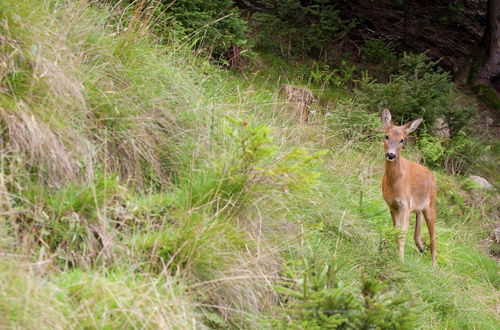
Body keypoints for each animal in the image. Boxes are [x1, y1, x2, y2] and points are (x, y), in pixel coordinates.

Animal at [380, 108, 436, 266]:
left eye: (402, 140)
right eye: (386, 136)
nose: (391, 155)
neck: (394, 183)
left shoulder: (405, 204)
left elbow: (402, 234)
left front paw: (401, 259)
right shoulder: (392, 205)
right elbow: (396, 232)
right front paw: (398, 256)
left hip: (431, 205)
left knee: (433, 237)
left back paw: (434, 265)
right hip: (417, 206)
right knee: (418, 216)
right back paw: (420, 246)